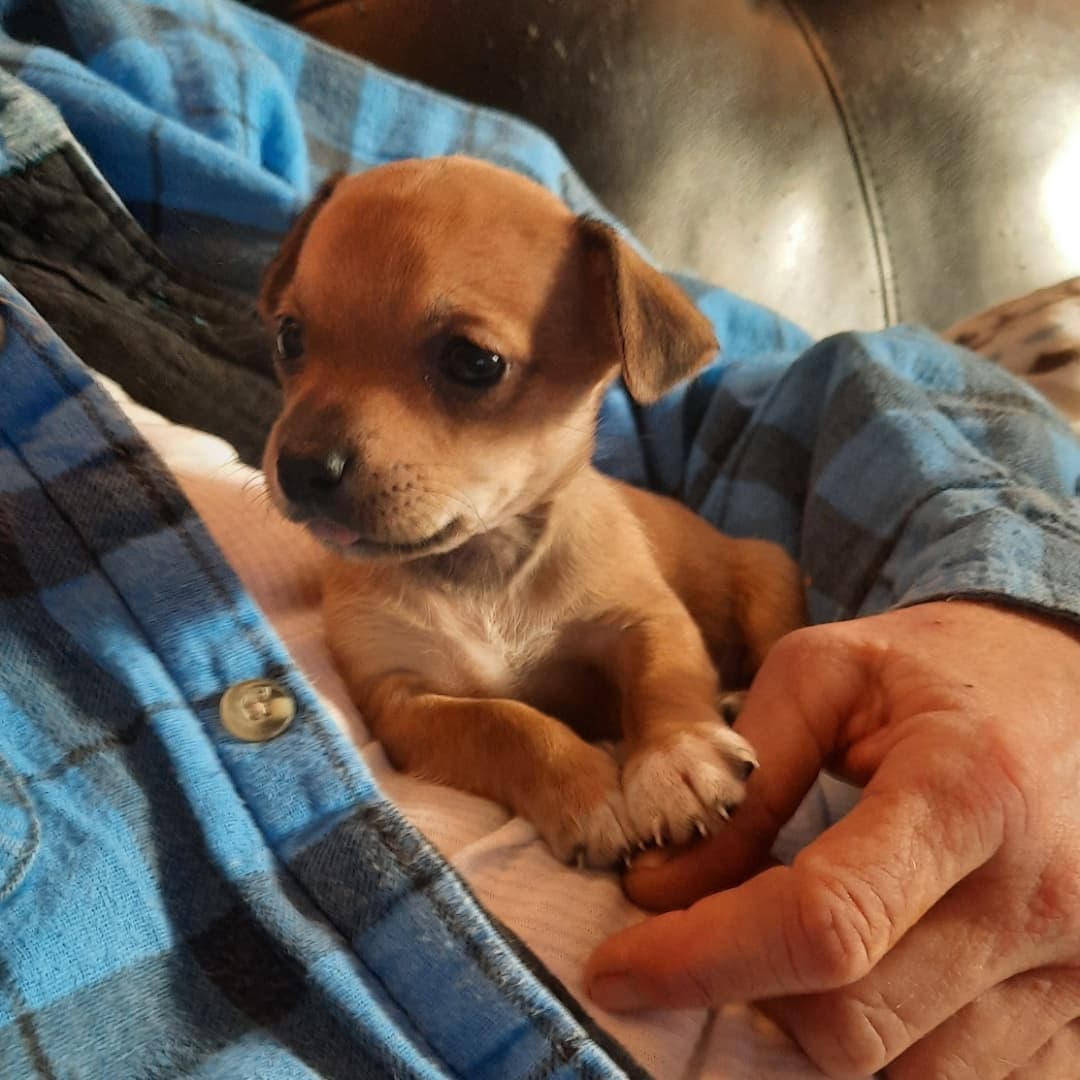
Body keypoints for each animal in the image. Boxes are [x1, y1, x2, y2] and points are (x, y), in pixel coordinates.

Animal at [259, 157, 803, 868]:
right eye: (289, 338)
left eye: (473, 362)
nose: (298, 468)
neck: (483, 564)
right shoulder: (402, 698)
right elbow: (503, 722)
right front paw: (585, 794)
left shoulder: (645, 617)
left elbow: (666, 677)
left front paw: (678, 759)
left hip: (769, 581)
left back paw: (736, 699)